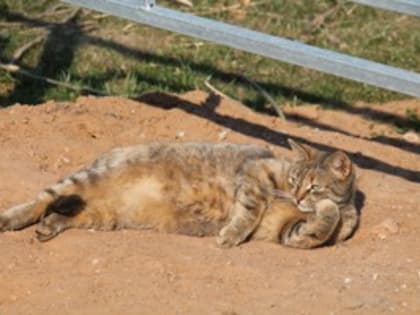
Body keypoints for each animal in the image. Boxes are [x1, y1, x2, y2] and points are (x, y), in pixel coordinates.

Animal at [0, 141, 358, 249]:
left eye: (312, 185)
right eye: (295, 180)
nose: (296, 197)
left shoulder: (290, 231)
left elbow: (321, 226)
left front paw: (327, 210)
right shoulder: (256, 174)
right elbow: (249, 210)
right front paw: (231, 234)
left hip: (102, 216)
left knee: (63, 212)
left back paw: (50, 226)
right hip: (83, 181)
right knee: (41, 199)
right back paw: (9, 218)